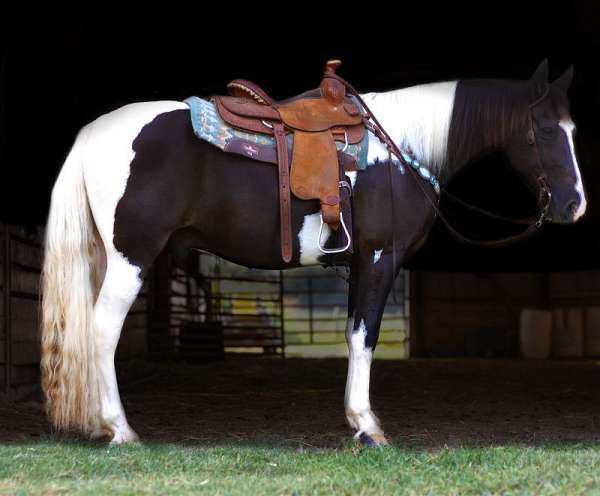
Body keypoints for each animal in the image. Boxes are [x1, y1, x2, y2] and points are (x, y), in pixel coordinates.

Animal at [42, 62, 584, 446]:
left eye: (574, 130)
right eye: (546, 130)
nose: (575, 205)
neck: (402, 147)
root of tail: (92, 133)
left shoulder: (358, 263)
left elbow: (351, 334)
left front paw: (356, 420)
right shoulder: (380, 258)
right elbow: (365, 337)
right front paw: (368, 427)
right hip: (131, 257)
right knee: (102, 330)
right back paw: (120, 429)